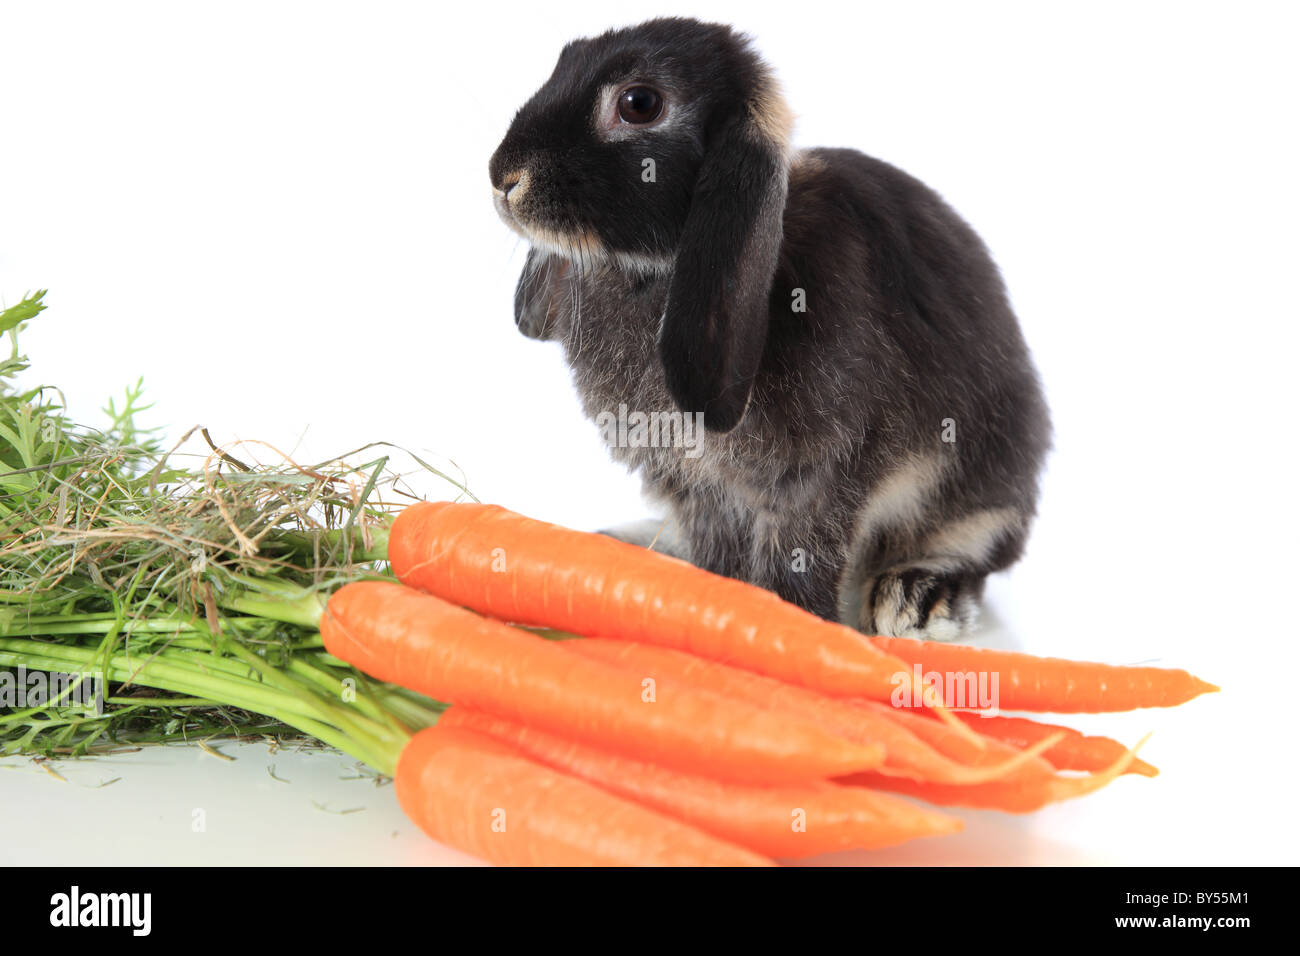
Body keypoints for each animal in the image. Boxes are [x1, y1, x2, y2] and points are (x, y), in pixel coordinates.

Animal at [486, 14, 1045, 639]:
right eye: (563, 61)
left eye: (639, 103)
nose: (502, 177)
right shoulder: (696, 486)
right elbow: (722, 563)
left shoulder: (817, 482)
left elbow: (798, 564)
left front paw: (797, 626)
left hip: (981, 483)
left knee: (978, 549)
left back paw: (915, 599)